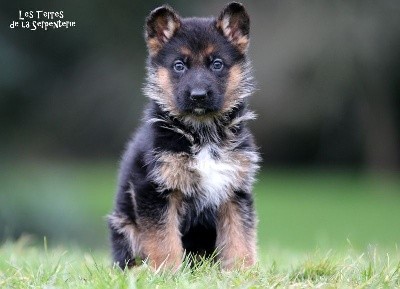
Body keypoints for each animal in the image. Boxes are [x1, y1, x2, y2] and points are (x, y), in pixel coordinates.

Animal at [108, 1, 260, 270]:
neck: (202, 132)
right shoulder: (155, 189)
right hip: (123, 224)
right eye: (179, 66)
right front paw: (167, 271)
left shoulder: (235, 191)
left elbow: (240, 235)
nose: (198, 96)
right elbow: (163, 238)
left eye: (217, 64)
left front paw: (243, 271)